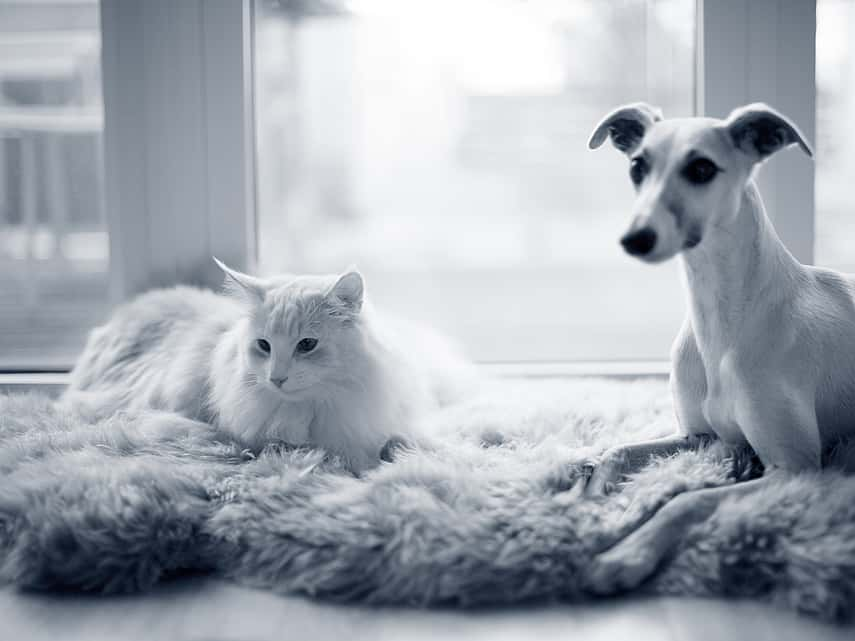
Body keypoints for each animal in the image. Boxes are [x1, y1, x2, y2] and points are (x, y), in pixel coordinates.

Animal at [580, 104, 852, 592]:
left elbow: (688, 500)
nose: (634, 238)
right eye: (637, 166)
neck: (721, 323)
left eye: (702, 168)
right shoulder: (699, 437)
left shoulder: (796, 468)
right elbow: (615, 451)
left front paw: (626, 554)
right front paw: (598, 509)